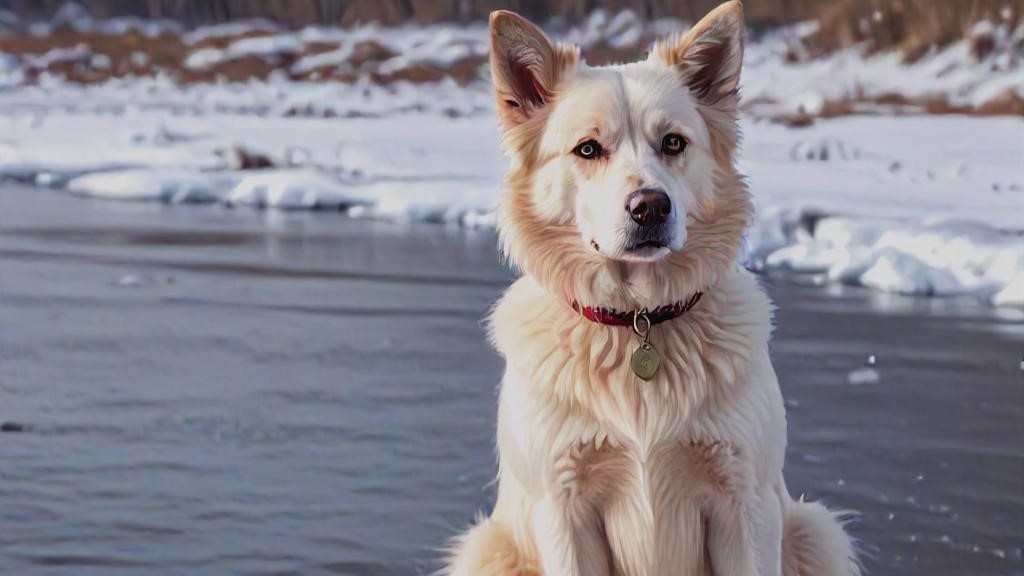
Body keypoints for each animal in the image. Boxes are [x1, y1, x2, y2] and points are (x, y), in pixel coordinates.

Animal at [446, 2, 856, 569]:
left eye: (673, 142)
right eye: (588, 148)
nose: (650, 207)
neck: (637, 319)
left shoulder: (746, 503)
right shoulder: (562, 509)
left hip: (814, 532)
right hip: (489, 548)